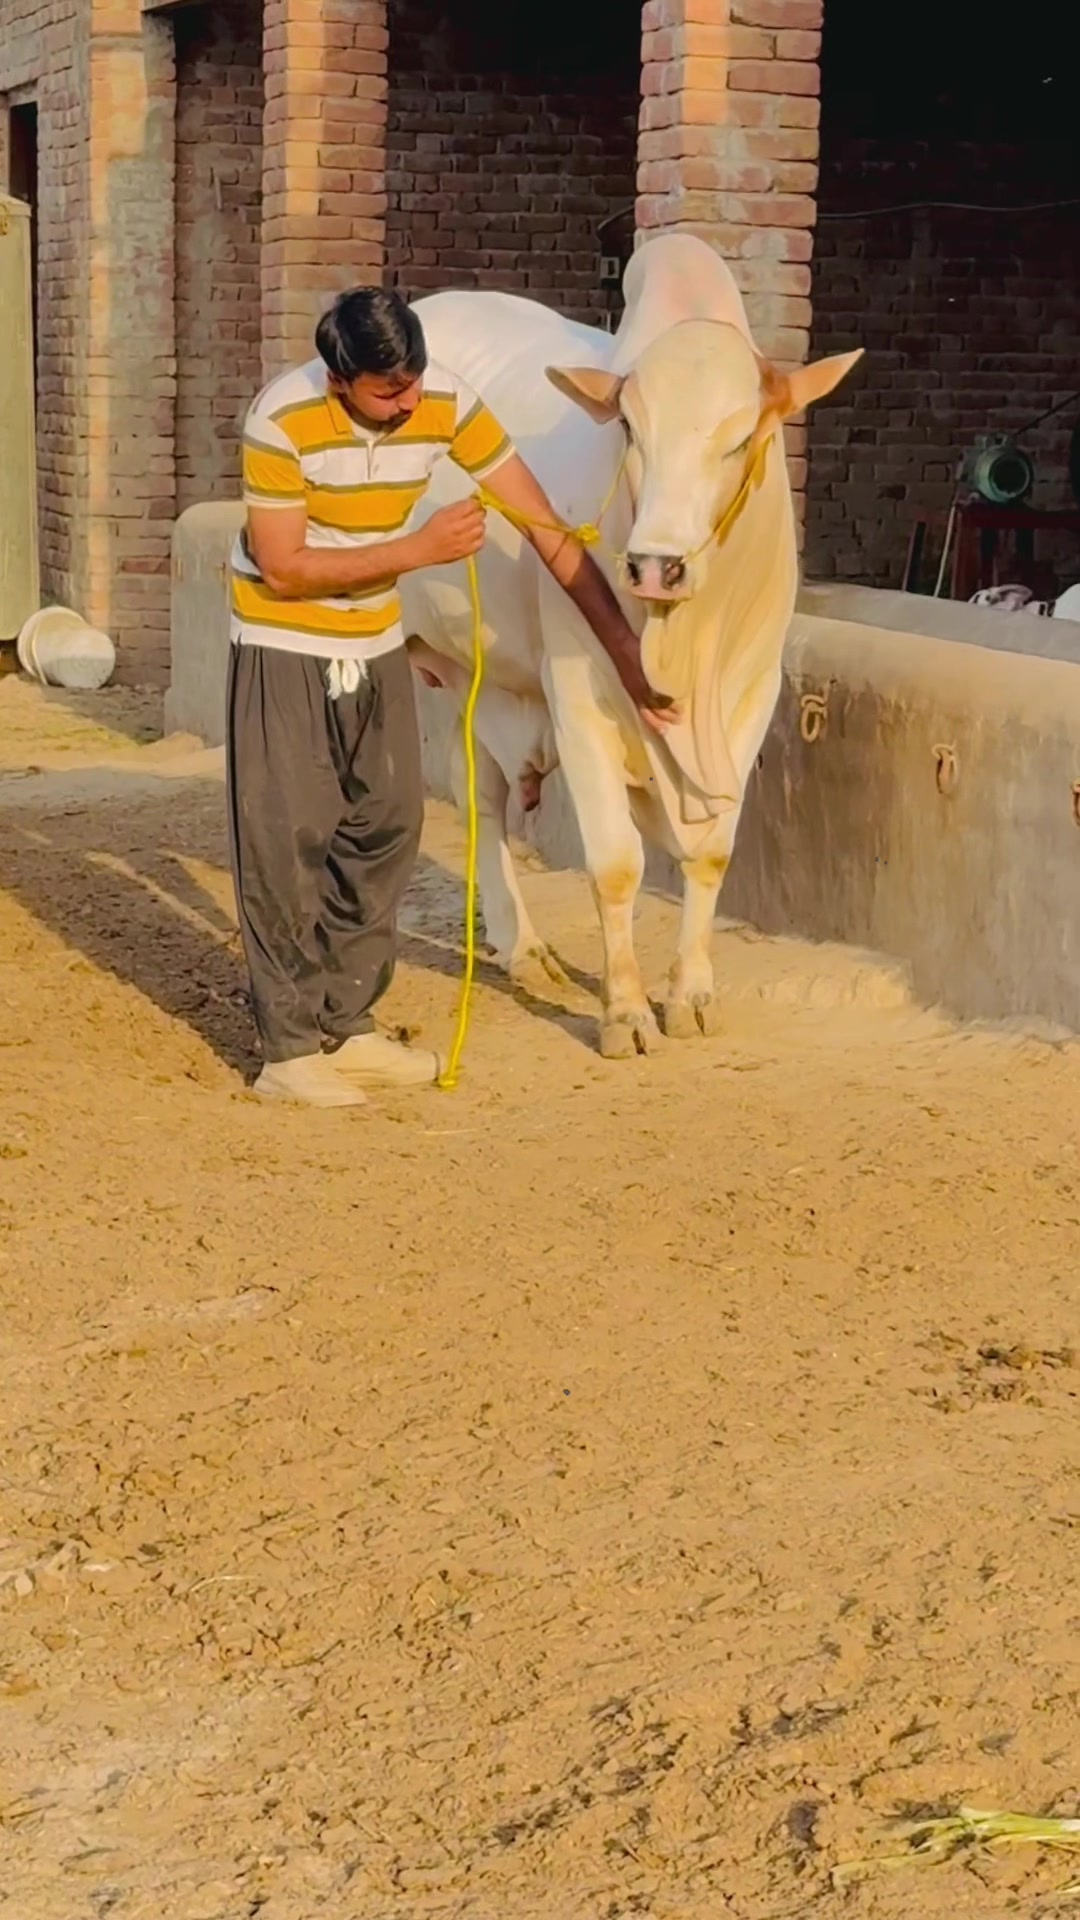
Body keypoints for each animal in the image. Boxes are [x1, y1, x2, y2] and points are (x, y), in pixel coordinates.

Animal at [400, 234, 862, 1058]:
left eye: (740, 441)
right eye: (629, 431)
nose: (655, 566)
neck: (687, 641)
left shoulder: (751, 699)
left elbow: (710, 852)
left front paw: (692, 994)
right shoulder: (576, 694)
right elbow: (616, 864)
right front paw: (625, 1011)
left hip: (472, 673)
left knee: (481, 790)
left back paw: (521, 947)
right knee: (472, 797)